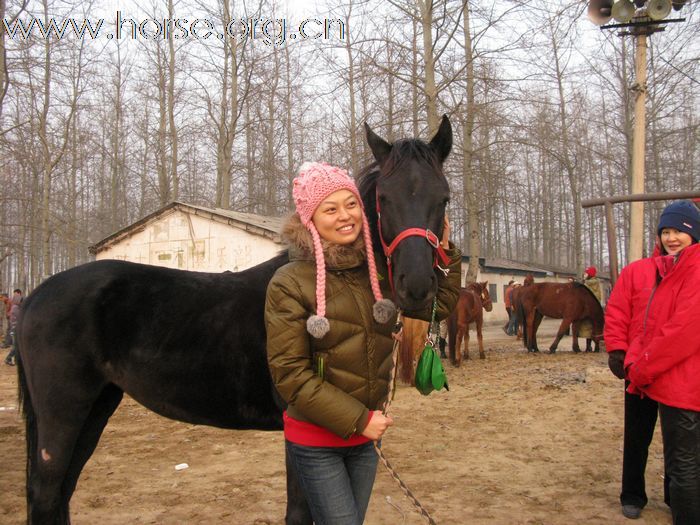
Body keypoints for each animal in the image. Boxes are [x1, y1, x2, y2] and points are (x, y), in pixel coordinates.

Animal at [15, 115, 454, 524]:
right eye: (383, 198)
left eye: (445, 198)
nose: (416, 285)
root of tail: (36, 295)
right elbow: (299, 512)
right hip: (64, 413)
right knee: (46, 493)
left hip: (97, 406)